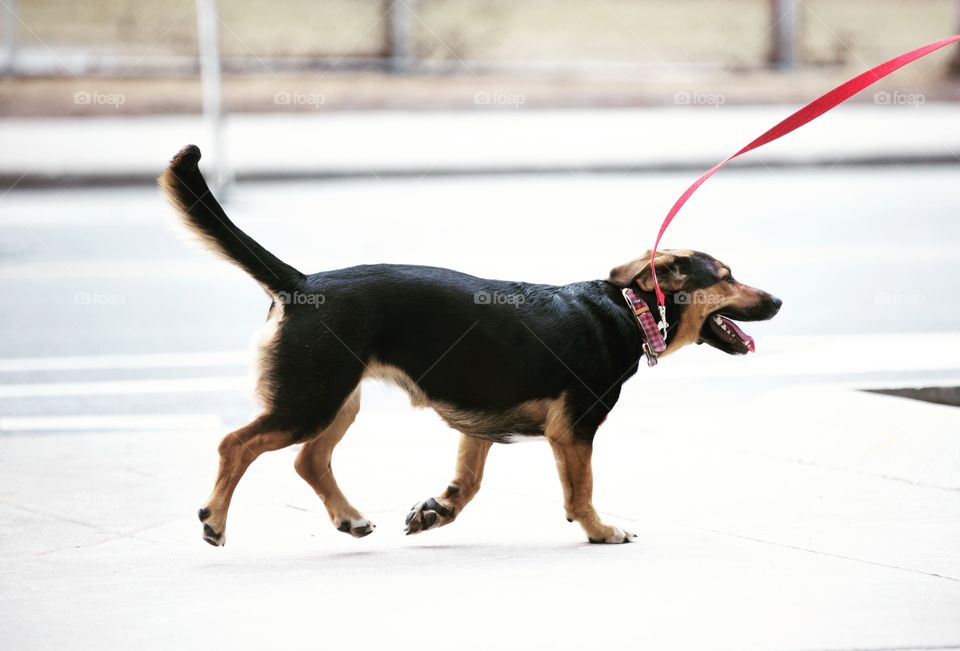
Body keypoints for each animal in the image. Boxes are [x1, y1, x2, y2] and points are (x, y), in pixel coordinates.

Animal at [161, 145, 784, 548]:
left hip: (338, 396)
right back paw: (216, 520)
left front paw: (437, 512)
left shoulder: (479, 421)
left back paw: (350, 519)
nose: (778, 301)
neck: (629, 309)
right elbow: (579, 493)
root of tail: (301, 281)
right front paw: (601, 531)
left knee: (309, 460)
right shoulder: (574, 431)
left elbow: (469, 481)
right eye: (726, 276)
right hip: (311, 399)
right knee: (235, 444)